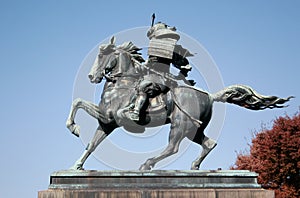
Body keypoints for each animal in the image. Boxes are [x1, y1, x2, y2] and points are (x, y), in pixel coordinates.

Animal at [65, 36, 290, 170]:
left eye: (102, 54)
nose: (91, 76)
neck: (122, 82)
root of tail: (210, 96)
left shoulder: (110, 116)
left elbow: (79, 103)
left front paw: (74, 127)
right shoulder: (107, 123)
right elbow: (91, 143)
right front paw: (77, 166)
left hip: (180, 125)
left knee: (173, 147)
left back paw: (147, 164)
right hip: (193, 129)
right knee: (209, 143)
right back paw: (195, 167)